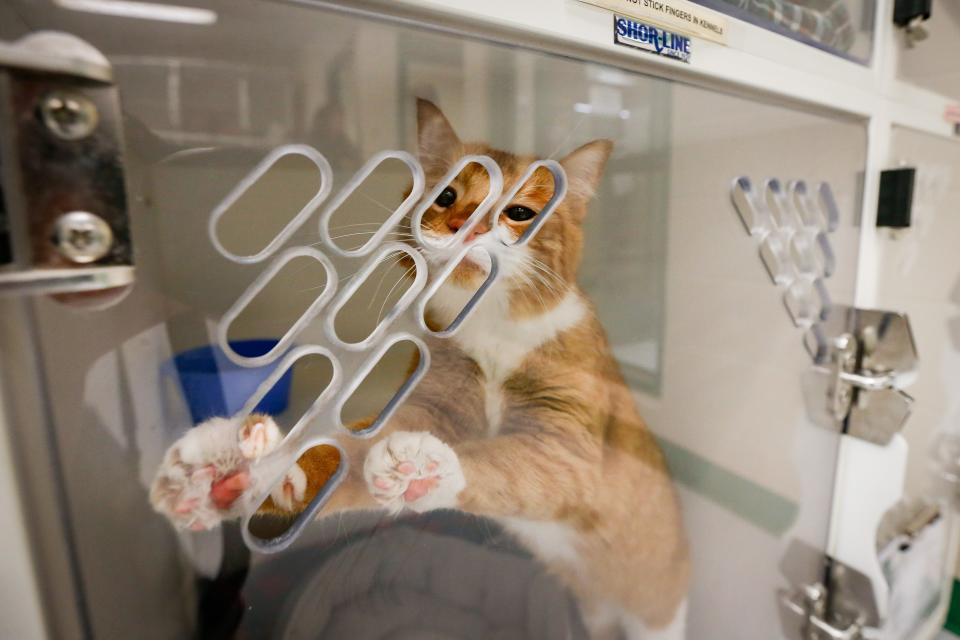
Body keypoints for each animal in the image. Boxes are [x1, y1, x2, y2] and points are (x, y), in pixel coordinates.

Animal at [152, 100, 688, 640]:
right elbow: (339, 451)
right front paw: (238, 467)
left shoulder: (566, 448)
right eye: (447, 195)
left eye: (519, 212)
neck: (491, 329)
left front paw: (424, 467)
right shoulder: (434, 406)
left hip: (658, 614)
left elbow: (504, 465)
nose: (467, 226)